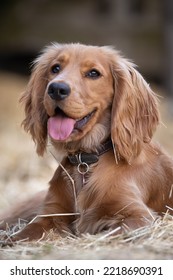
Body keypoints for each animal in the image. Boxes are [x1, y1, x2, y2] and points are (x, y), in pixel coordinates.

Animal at [0, 43, 173, 241]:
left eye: (93, 73)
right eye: (55, 68)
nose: (56, 89)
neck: (85, 161)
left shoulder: (138, 216)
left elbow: (109, 232)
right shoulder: (51, 214)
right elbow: (22, 234)